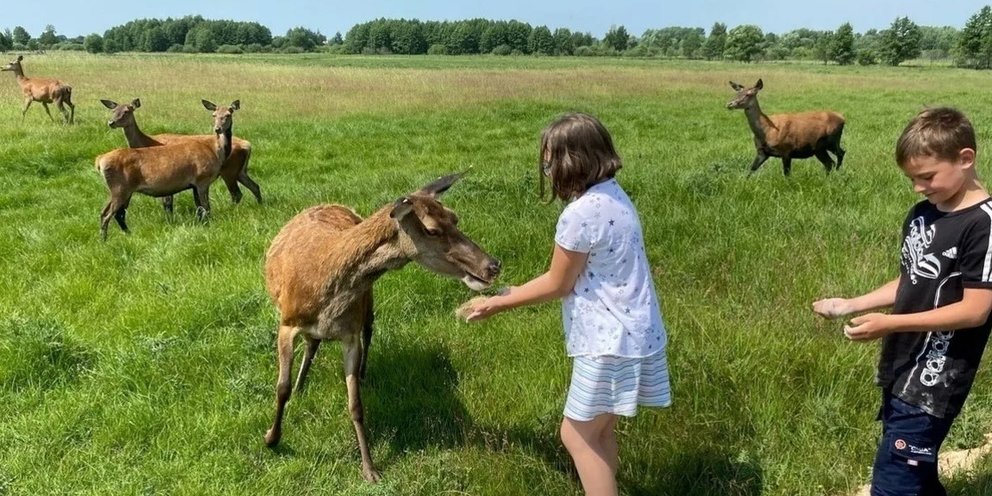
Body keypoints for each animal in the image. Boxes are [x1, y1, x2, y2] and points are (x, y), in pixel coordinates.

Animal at [94, 100, 238, 239]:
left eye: (228, 114)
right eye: (214, 115)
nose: (218, 129)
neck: (216, 152)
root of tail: (100, 161)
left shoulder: (194, 185)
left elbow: (199, 208)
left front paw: (202, 225)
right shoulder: (202, 178)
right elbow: (206, 208)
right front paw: (208, 226)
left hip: (119, 190)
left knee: (107, 212)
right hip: (120, 188)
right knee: (109, 214)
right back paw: (104, 239)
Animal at [101, 98, 260, 212]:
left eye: (127, 111)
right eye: (113, 110)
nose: (111, 122)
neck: (147, 143)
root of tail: (247, 145)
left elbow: (167, 203)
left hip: (229, 171)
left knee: (236, 194)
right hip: (241, 171)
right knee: (255, 186)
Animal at [262, 172, 500, 482]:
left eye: (454, 217)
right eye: (432, 229)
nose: (492, 266)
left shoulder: (349, 334)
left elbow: (355, 405)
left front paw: (369, 468)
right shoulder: (287, 323)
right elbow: (282, 388)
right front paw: (272, 438)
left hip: (368, 302)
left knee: (367, 331)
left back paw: (362, 373)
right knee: (313, 343)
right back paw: (303, 384)